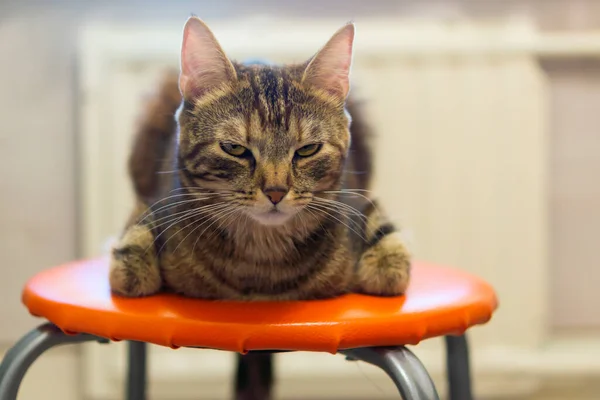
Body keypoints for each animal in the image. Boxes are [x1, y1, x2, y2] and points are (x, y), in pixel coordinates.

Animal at [109, 17, 412, 400]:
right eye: (234, 148)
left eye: (308, 149)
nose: (276, 191)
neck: (261, 262)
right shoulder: (154, 200)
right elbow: (133, 250)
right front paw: (133, 259)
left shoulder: (359, 199)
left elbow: (389, 252)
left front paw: (385, 261)